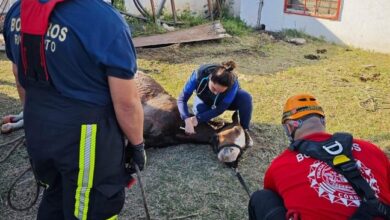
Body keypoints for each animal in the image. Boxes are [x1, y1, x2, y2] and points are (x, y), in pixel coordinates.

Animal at [0, 72, 250, 163]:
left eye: (245, 146)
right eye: (234, 131)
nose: (230, 158)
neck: (178, 125)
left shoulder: (149, 140)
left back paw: (9, 125)